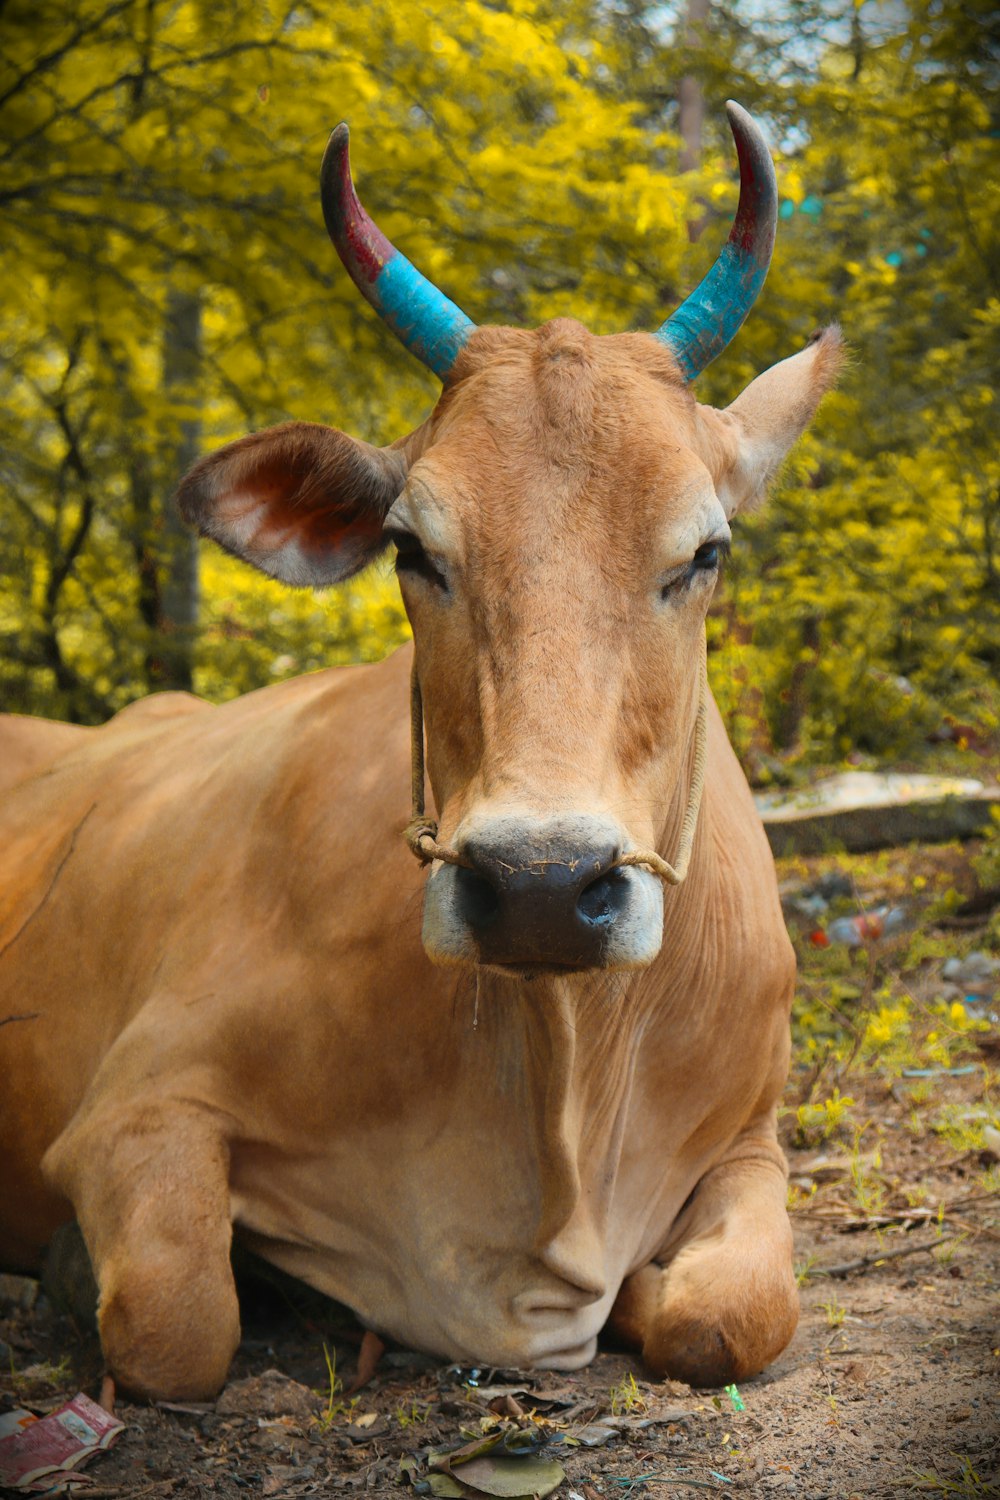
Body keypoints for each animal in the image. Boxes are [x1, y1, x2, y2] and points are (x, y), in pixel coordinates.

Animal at [0, 102, 845, 1392]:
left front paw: (653, 1296)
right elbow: (175, 1322)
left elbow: (734, 1314)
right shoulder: (134, 1108)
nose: (541, 885)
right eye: (412, 548)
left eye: (705, 550)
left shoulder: (751, 1137)